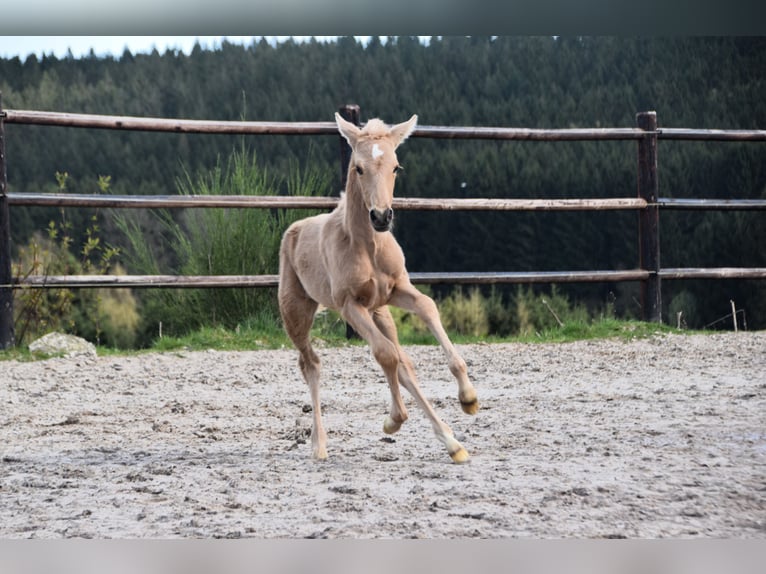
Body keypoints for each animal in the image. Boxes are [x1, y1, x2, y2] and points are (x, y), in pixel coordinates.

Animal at [276, 112, 480, 464]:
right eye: (358, 168)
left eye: (396, 167)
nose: (382, 217)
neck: (367, 246)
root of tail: (295, 229)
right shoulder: (350, 305)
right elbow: (384, 354)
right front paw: (394, 420)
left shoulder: (397, 290)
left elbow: (427, 308)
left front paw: (468, 398)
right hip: (297, 313)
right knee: (311, 363)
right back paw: (319, 445)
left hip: (379, 311)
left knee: (404, 363)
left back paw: (451, 442)